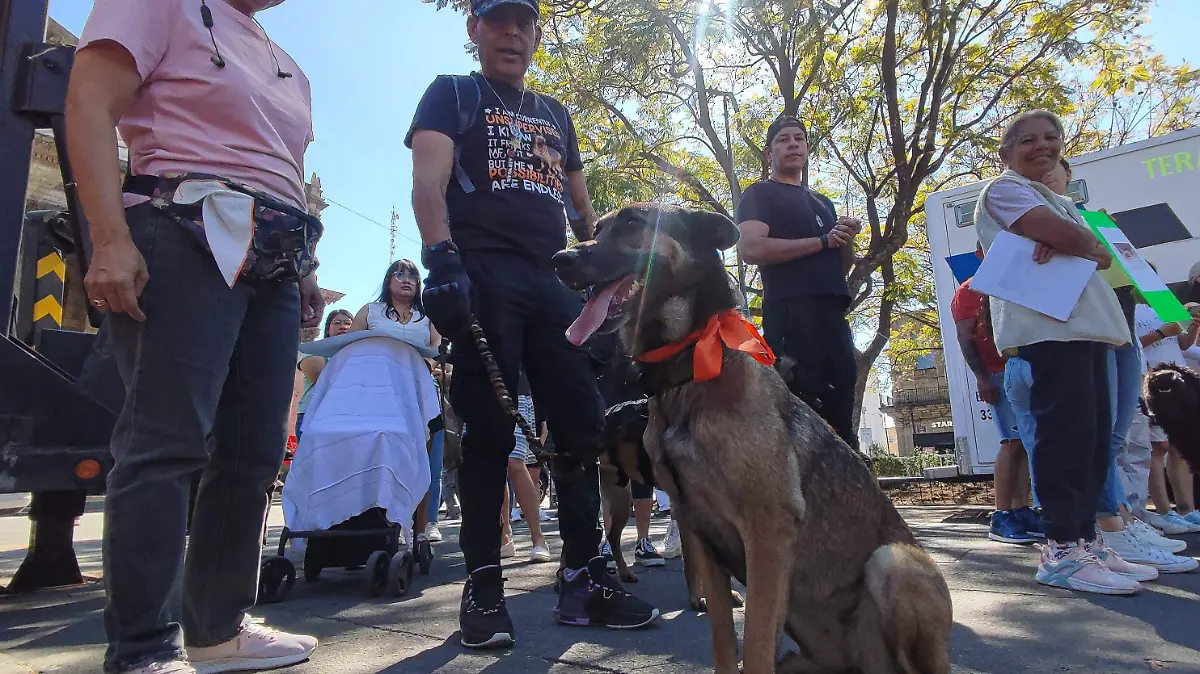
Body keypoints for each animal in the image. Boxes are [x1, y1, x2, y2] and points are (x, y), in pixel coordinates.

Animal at [549, 203, 950, 671]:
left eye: (633, 223)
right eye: (596, 229)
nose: (560, 260)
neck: (689, 372)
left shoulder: (767, 529)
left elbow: (755, 642)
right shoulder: (698, 527)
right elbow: (724, 637)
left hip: (895, 561)